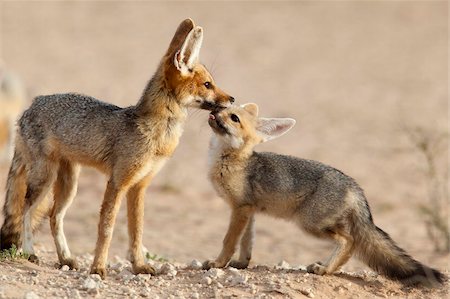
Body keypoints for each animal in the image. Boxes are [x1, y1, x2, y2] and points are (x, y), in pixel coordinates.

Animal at [2, 19, 236, 282]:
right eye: (208, 85)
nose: (232, 99)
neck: (155, 134)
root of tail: (31, 104)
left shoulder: (139, 186)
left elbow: (137, 231)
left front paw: (139, 266)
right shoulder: (117, 182)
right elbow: (107, 228)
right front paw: (98, 268)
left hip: (69, 186)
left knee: (54, 217)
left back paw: (66, 258)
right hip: (44, 179)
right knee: (25, 210)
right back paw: (29, 251)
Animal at [205, 104, 446, 288]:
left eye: (234, 118)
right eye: (224, 109)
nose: (215, 109)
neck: (229, 160)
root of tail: (354, 185)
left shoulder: (240, 209)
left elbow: (229, 240)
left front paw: (218, 263)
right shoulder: (249, 209)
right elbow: (247, 242)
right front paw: (241, 263)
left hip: (310, 224)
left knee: (349, 241)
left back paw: (324, 269)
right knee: (351, 244)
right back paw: (328, 268)